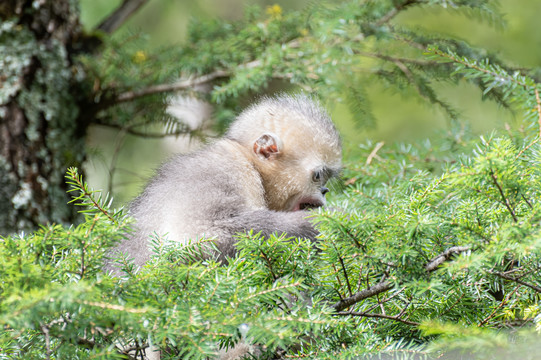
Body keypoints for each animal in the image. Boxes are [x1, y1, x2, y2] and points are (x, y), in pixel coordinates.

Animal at [108, 93, 340, 268]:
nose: (325, 191)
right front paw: (320, 223)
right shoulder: (225, 173)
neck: (251, 164)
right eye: (318, 175)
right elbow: (200, 235)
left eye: (327, 178)